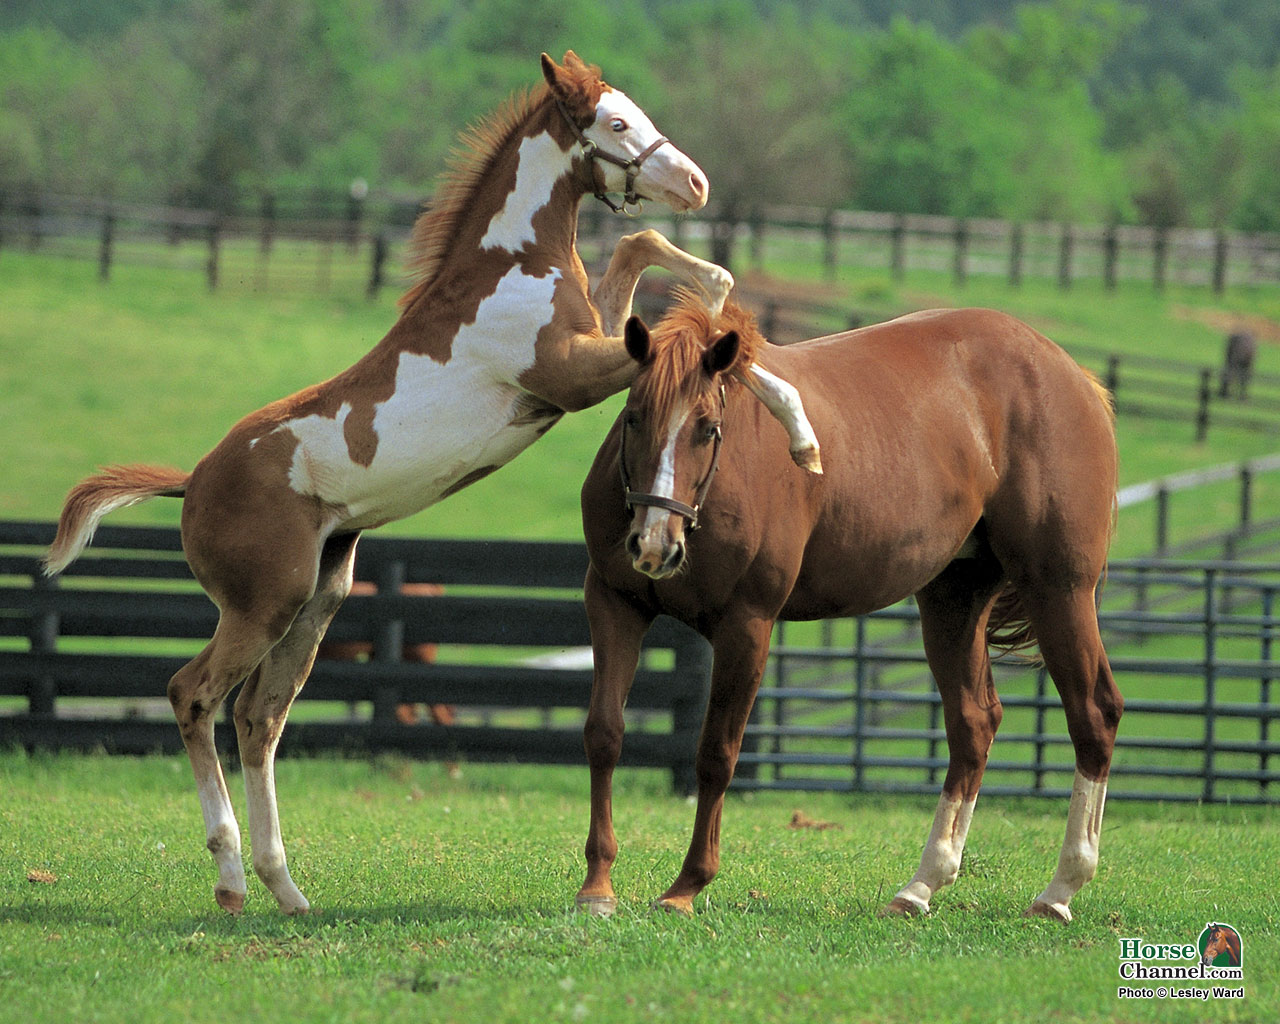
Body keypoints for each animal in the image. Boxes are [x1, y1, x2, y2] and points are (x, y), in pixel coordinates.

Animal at [42, 51, 818, 917]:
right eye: (617, 123)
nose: (695, 182)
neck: (509, 266)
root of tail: (195, 480)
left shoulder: (595, 332)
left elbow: (644, 250)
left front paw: (800, 427)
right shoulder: (571, 372)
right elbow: (684, 290)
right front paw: (799, 424)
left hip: (317, 599)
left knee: (258, 718)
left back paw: (288, 889)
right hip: (261, 603)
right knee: (193, 695)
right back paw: (233, 877)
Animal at [576, 293, 1124, 922]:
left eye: (708, 428)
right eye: (633, 416)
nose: (654, 543)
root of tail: (1074, 377)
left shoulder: (747, 626)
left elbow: (716, 752)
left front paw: (687, 886)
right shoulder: (613, 605)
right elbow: (605, 733)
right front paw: (597, 885)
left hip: (1059, 590)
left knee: (1094, 713)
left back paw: (1061, 888)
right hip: (952, 600)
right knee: (973, 724)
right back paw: (922, 884)